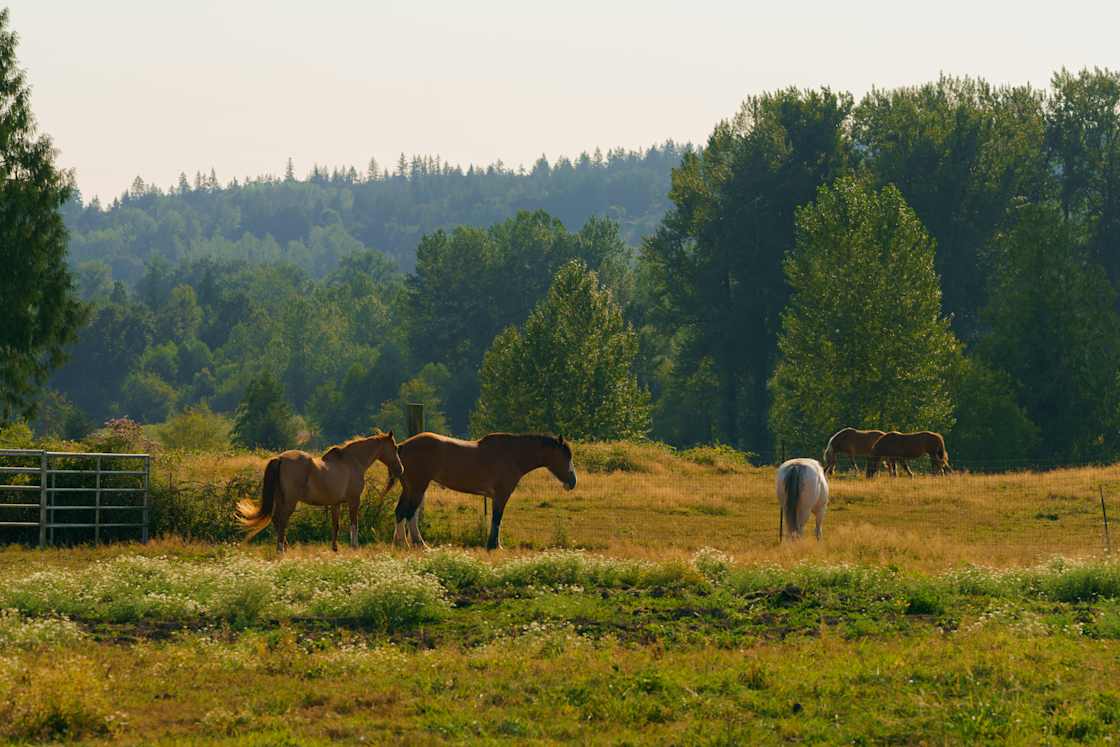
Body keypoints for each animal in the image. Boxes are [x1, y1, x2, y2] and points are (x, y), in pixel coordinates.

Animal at [238, 430, 405, 553]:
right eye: (395, 448)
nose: (400, 469)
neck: (351, 461)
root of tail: (280, 458)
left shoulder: (335, 504)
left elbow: (335, 525)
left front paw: (335, 548)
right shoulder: (354, 501)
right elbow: (354, 524)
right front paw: (354, 546)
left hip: (280, 499)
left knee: (276, 520)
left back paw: (285, 546)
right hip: (290, 501)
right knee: (282, 520)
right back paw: (281, 549)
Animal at [387, 432, 577, 548]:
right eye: (566, 456)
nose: (573, 481)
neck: (512, 455)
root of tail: (402, 446)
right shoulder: (501, 495)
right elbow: (497, 519)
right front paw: (494, 545)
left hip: (410, 488)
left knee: (401, 512)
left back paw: (400, 543)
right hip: (418, 487)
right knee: (409, 513)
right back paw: (417, 544)